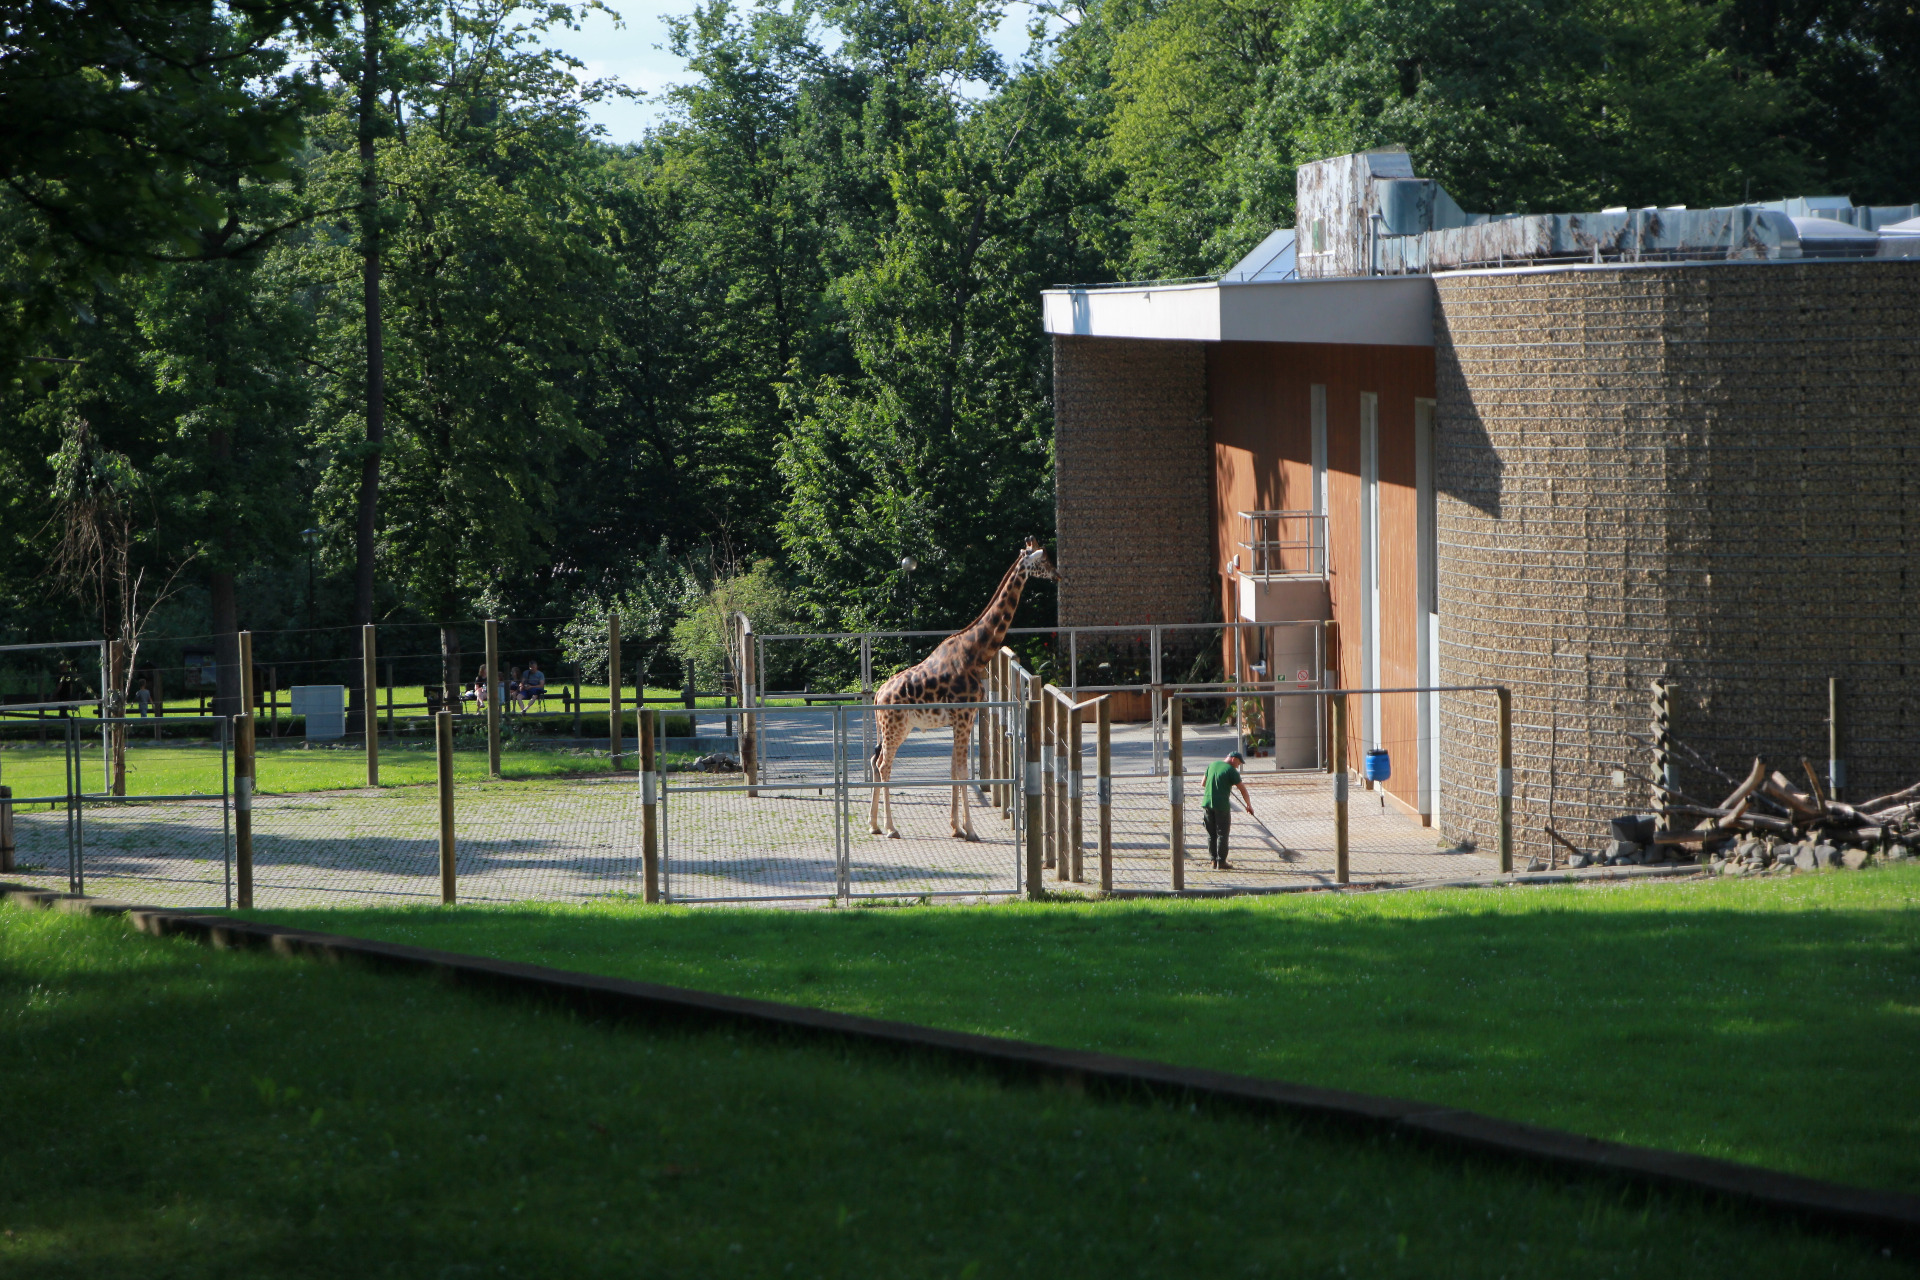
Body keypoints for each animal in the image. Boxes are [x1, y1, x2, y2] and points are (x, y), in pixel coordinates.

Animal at [869, 536, 1063, 840]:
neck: (975, 652)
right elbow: (961, 771)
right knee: (883, 764)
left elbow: (956, 769)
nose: (1058, 575)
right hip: (895, 727)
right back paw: (890, 828)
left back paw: (874, 824)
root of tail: (878, 695)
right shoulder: (962, 716)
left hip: (895, 728)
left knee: (875, 761)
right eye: (1043, 559)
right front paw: (969, 829)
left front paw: (956, 827)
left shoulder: (967, 718)